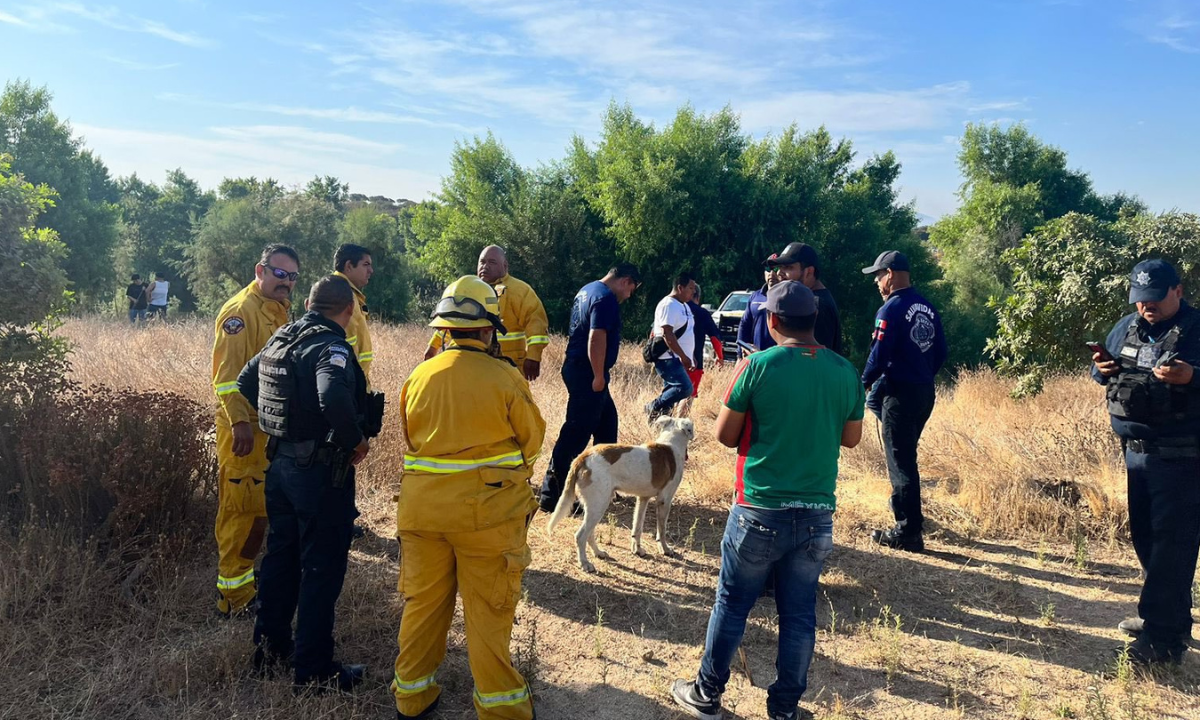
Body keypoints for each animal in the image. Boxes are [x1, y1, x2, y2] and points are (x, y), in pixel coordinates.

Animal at [544, 415, 696, 573]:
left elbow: (637, 527)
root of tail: (582, 457)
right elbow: (662, 530)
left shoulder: (643, 498)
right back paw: (585, 563)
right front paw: (665, 549)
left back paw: (598, 553)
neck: (670, 443)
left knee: (589, 534)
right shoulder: (664, 500)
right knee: (580, 536)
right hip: (599, 505)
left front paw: (637, 550)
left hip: (594, 506)